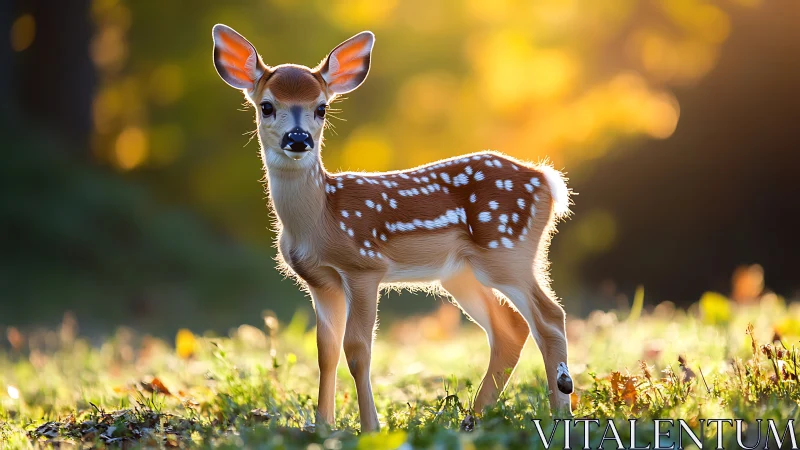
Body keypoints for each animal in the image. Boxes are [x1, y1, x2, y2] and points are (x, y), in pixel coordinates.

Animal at [211, 24, 574, 432]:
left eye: (321, 107)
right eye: (266, 106)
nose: (298, 139)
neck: (319, 219)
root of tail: (546, 179)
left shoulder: (364, 266)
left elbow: (357, 349)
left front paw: (370, 427)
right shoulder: (320, 280)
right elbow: (325, 350)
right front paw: (323, 426)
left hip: (507, 249)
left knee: (550, 317)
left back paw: (560, 414)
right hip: (462, 273)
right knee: (510, 329)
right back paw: (473, 418)